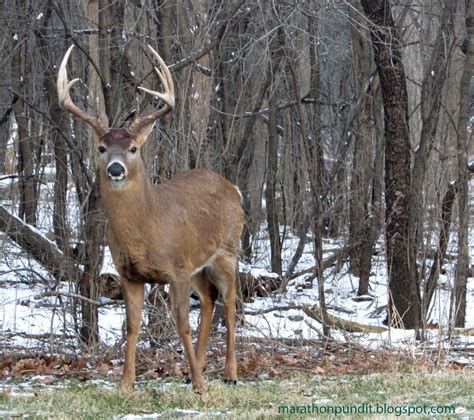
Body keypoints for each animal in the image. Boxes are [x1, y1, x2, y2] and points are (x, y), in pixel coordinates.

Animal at [57, 44, 244, 398]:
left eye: (132, 148)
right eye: (101, 147)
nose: (116, 168)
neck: (146, 229)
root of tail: (233, 187)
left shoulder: (177, 269)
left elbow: (182, 324)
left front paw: (201, 386)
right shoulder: (129, 274)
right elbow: (132, 327)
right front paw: (125, 383)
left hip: (228, 249)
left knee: (229, 302)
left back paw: (229, 373)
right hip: (199, 264)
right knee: (209, 299)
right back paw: (196, 369)